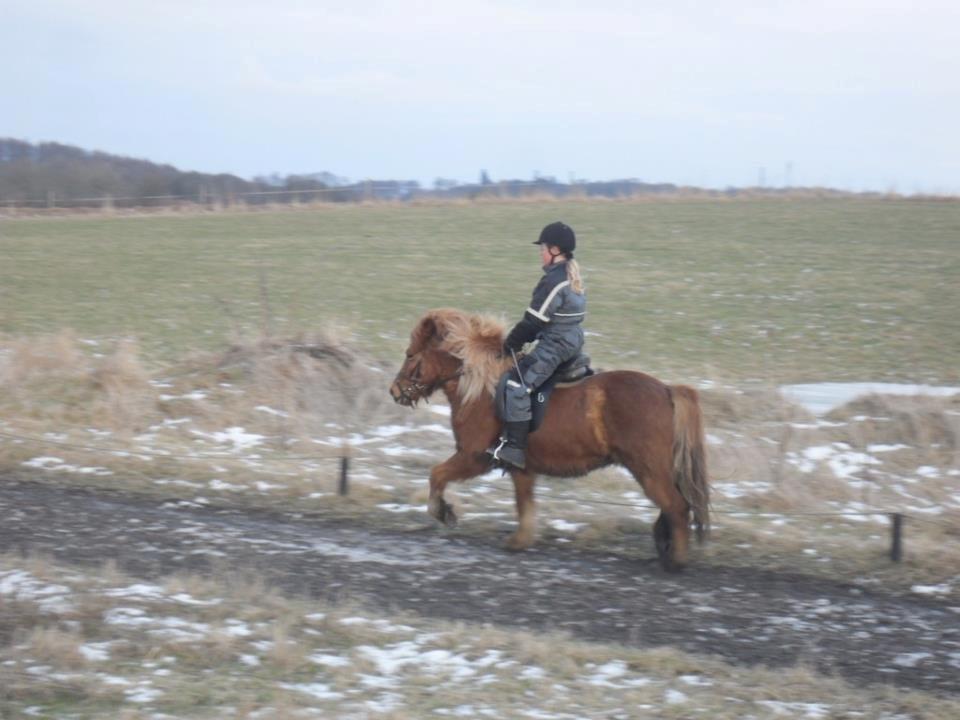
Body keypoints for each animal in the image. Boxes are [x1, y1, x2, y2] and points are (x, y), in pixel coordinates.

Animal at [386, 310, 708, 572]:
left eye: (411, 355)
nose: (394, 391)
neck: (481, 387)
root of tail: (667, 390)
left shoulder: (474, 457)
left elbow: (437, 475)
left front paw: (443, 512)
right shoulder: (521, 468)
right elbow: (524, 504)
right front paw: (520, 540)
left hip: (649, 470)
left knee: (677, 507)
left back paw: (677, 560)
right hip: (659, 470)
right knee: (674, 506)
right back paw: (666, 546)